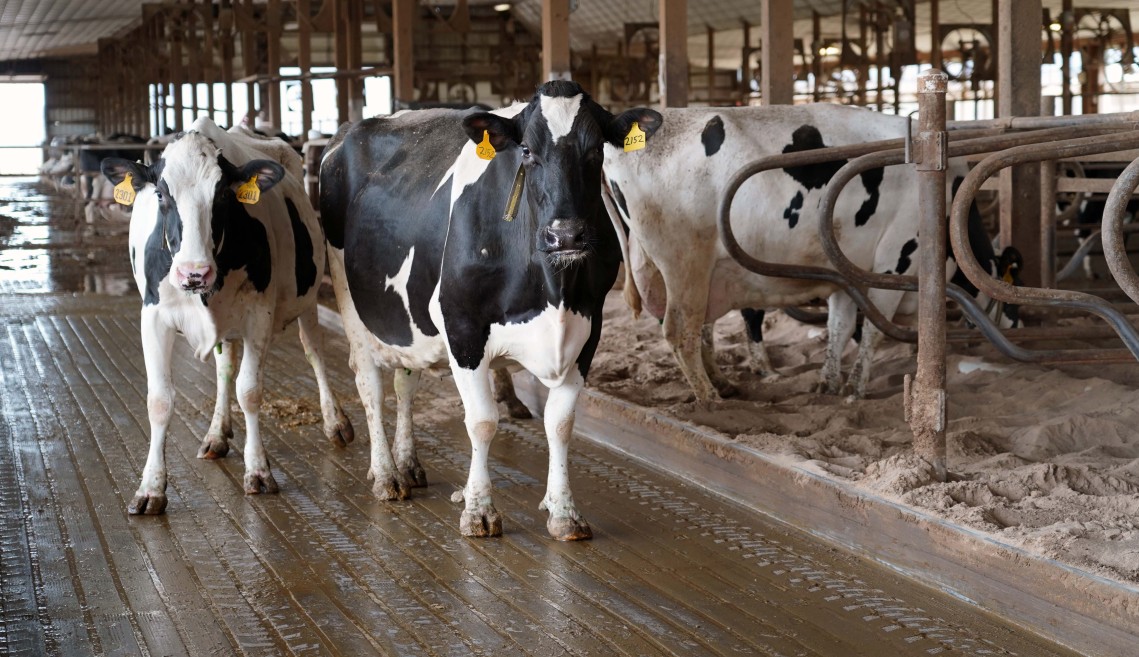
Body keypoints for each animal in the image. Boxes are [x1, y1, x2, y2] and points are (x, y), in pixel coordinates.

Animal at [100, 117, 354, 515]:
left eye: (222, 196)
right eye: (161, 196)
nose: (194, 272)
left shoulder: (259, 316)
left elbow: (249, 391)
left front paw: (259, 470)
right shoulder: (153, 318)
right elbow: (160, 400)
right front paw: (150, 488)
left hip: (308, 296)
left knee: (314, 351)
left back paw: (335, 422)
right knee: (224, 367)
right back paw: (217, 433)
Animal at [319, 80, 662, 540]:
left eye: (596, 151)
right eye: (527, 151)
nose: (565, 235)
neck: (554, 291)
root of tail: (350, 130)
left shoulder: (589, 328)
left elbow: (560, 422)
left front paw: (564, 512)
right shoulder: (462, 325)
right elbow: (482, 421)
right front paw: (479, 510)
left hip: (408, 318)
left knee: (405, 382)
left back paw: (407, 465)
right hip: (352, 303)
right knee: (370, 382)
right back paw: (387, 475)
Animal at [603, 104, 1019, 403]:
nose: (1016, 328)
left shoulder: (848, 272)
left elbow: (839, 327)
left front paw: (828, 384)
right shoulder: (896, 262)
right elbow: (872, 331)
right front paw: (854, 390)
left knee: (697, 330)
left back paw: (723, 384)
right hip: (684, 262)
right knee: (680, 330)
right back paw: (709, 398)